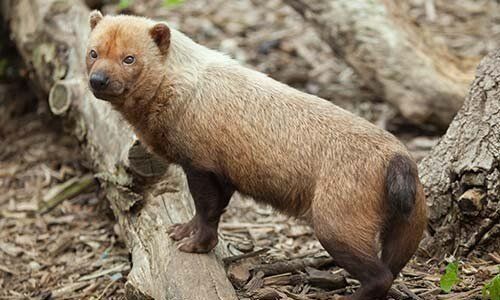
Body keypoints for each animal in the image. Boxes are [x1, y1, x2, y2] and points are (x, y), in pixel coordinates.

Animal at [85, 10, 426, 298]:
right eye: (93, 52)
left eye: (129, 58)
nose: (98, 80)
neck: (184, 89)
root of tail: (397, 159)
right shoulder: (224, 173)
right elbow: (214, 209)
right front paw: (182, 230)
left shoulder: (200, 163)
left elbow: (207, 208)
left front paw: (195, 243)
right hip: (408, 228)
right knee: (393, 268)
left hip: (335, 225)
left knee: (380, 276)